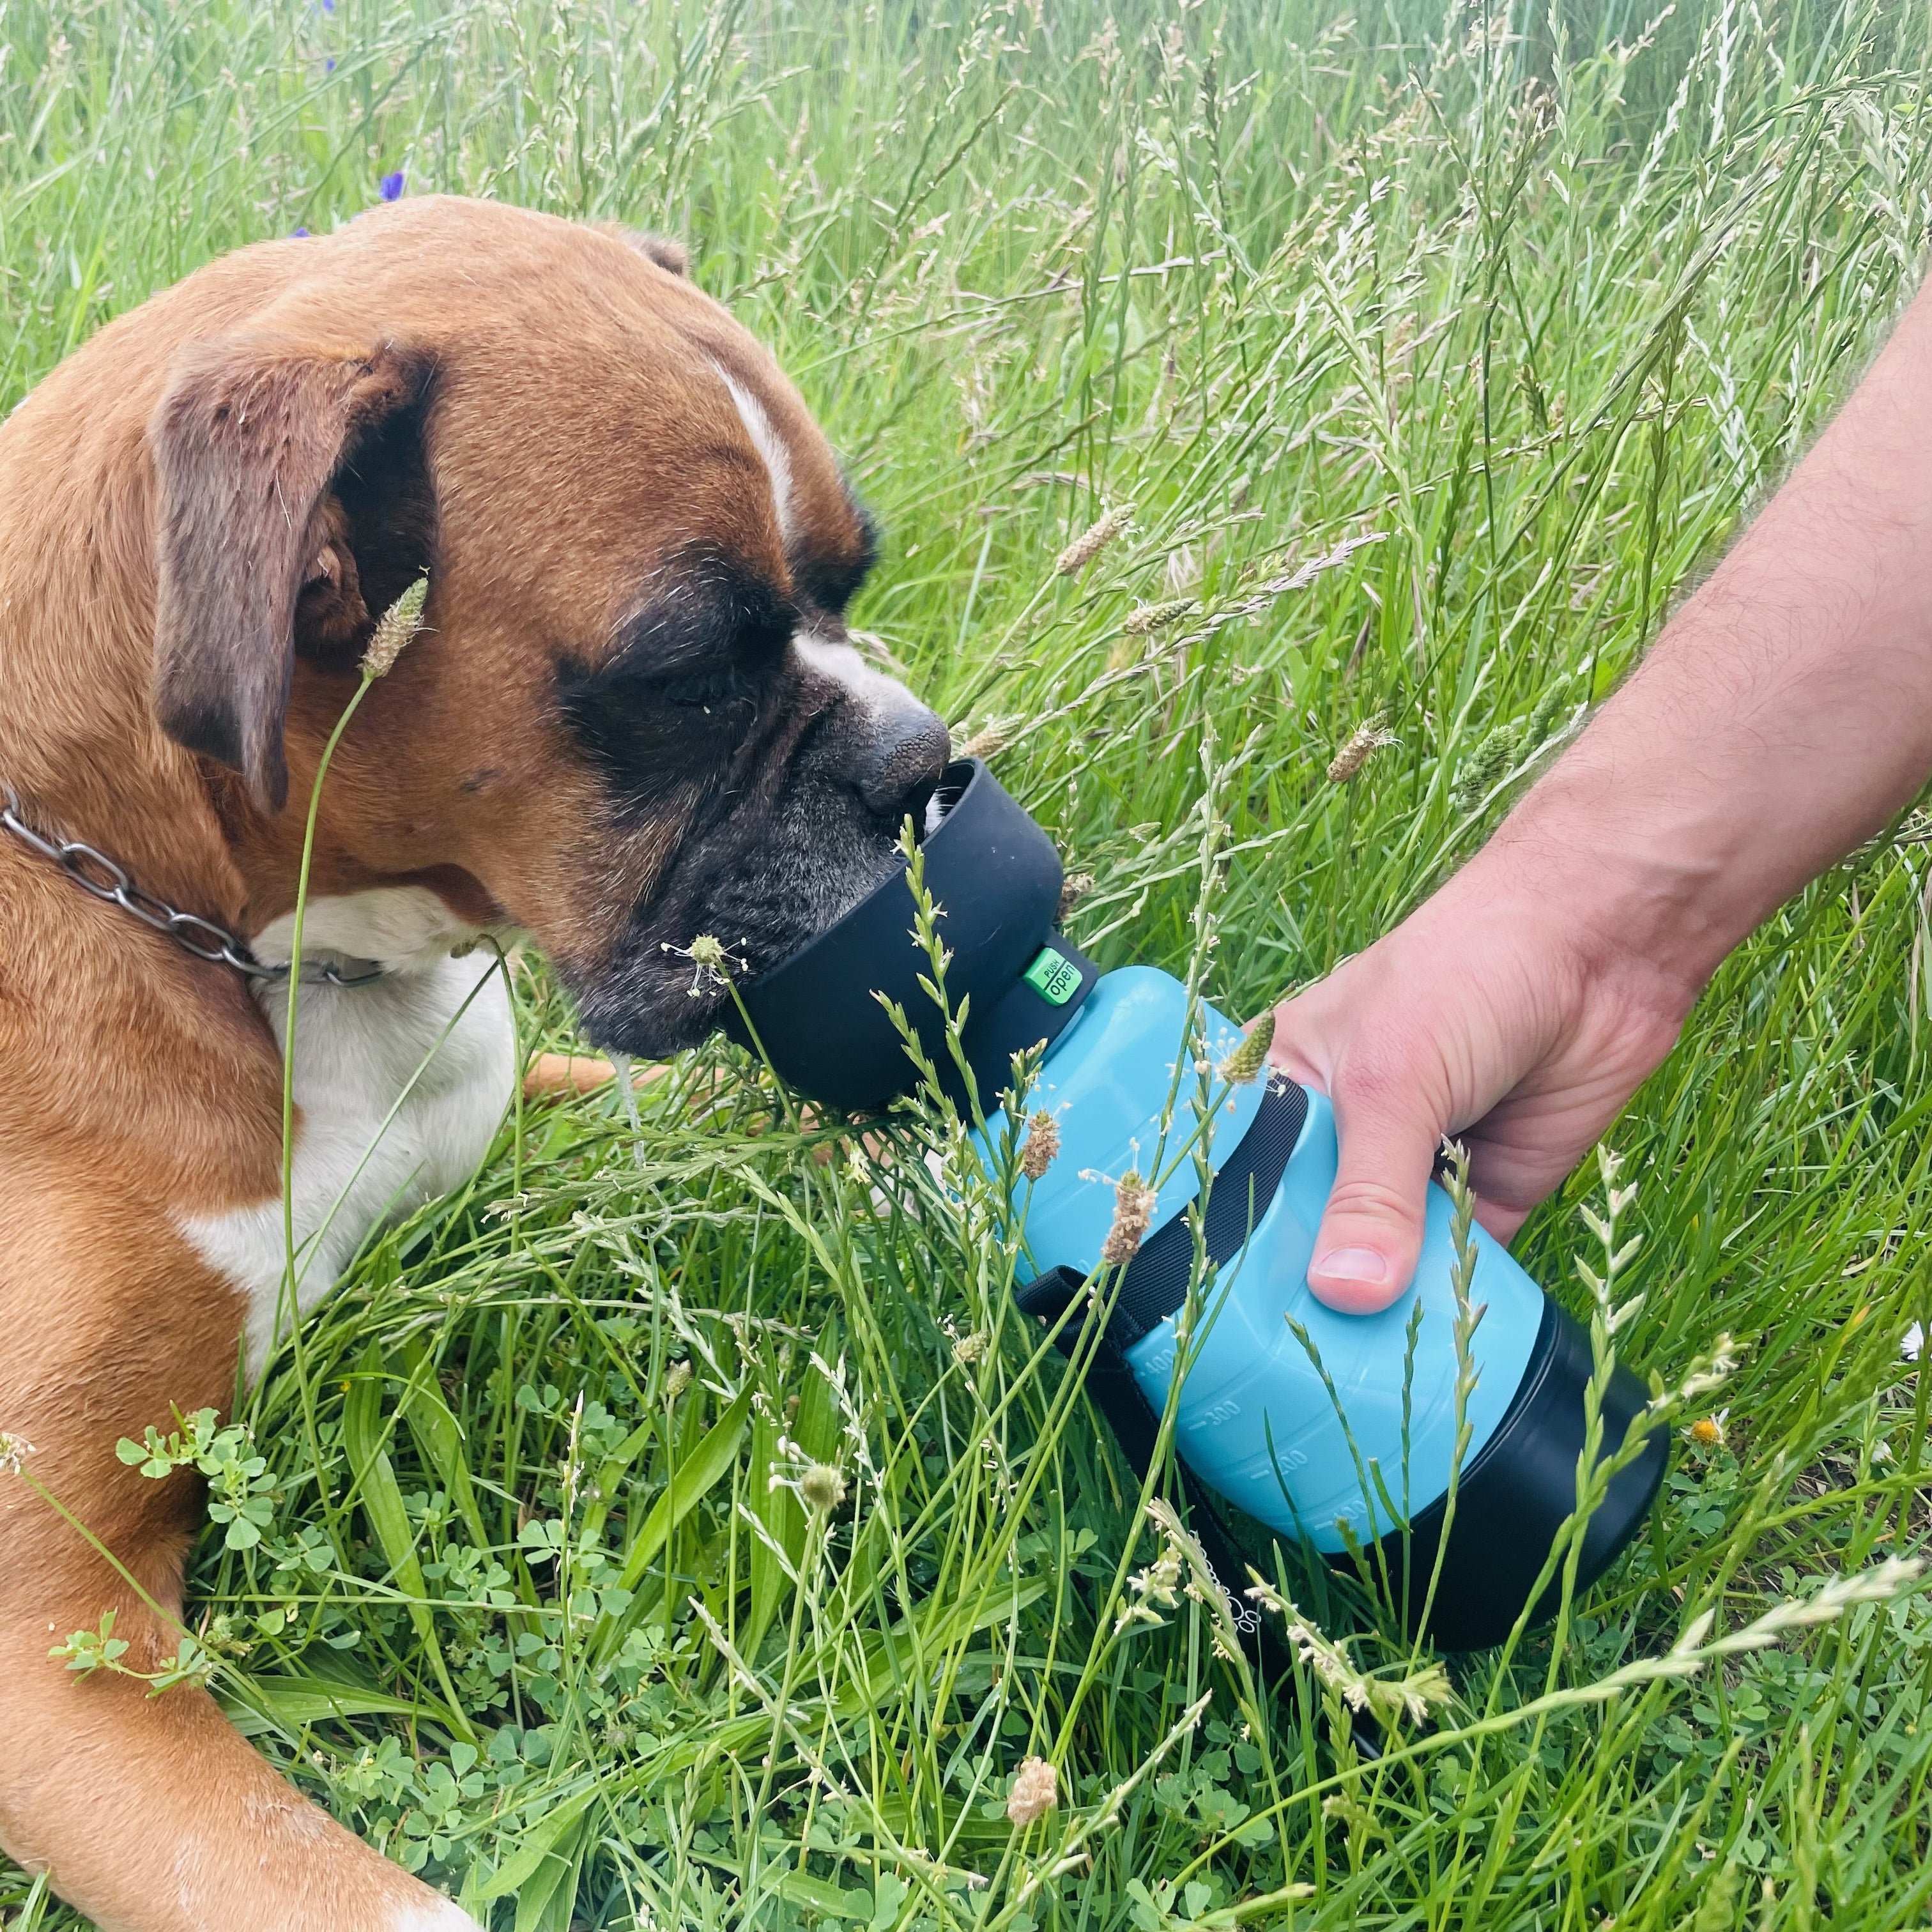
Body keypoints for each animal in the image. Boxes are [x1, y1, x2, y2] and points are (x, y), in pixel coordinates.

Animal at [0, 199, 950, 1932]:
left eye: (852, 580)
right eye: (688, 678)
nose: (929, 767)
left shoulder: (503, 1111)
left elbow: (702, 1102)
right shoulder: (50, 1636)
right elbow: (381, 1900)